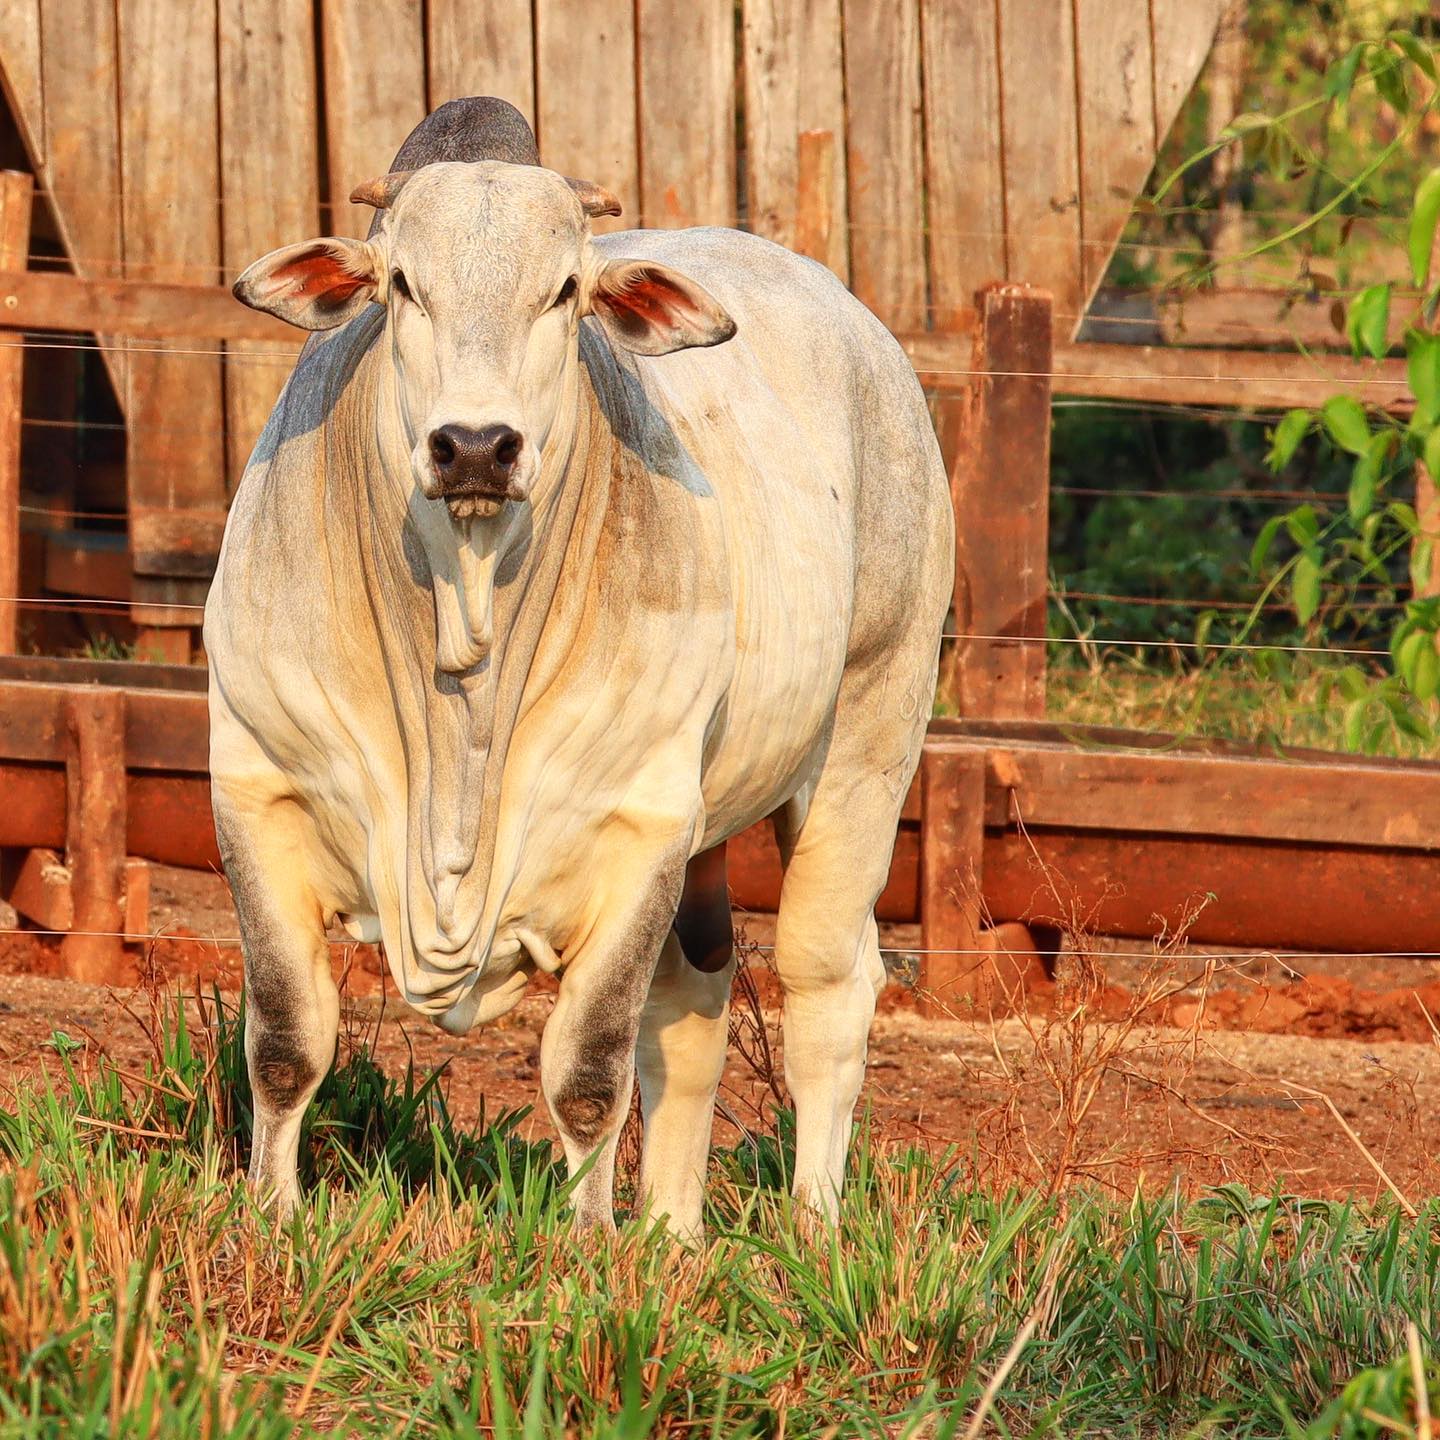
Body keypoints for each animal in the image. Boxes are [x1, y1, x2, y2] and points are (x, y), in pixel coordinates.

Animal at [203, 98, 944, 1238]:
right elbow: (287, 1044)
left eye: (562, 290)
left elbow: (589, 1072)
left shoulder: (641, 826)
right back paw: (672, 1230)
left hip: (872, 729)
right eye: (401, 283)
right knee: (696, 999)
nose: (474, 445)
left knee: (828, 980)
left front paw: (589, 1241)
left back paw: (814, 1223)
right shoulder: (254, 785)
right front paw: (270, 1222)